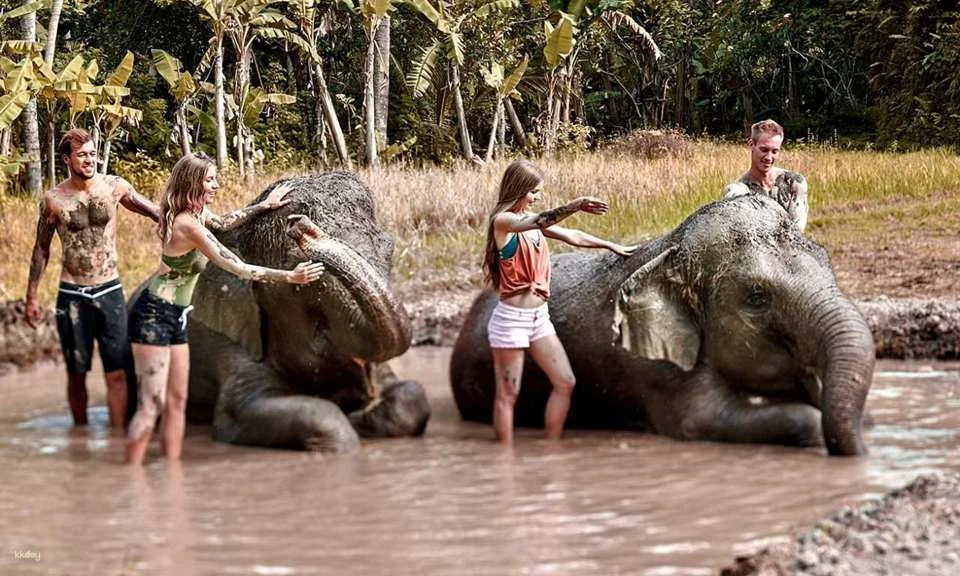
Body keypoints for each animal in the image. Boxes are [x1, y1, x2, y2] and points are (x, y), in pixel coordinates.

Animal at [185, 172, 430, 451]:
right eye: (298, 266)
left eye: (389, 249)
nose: (300, 224)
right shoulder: (230, 342)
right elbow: (244, 410)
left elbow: (411, 397)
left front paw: (360, 414)